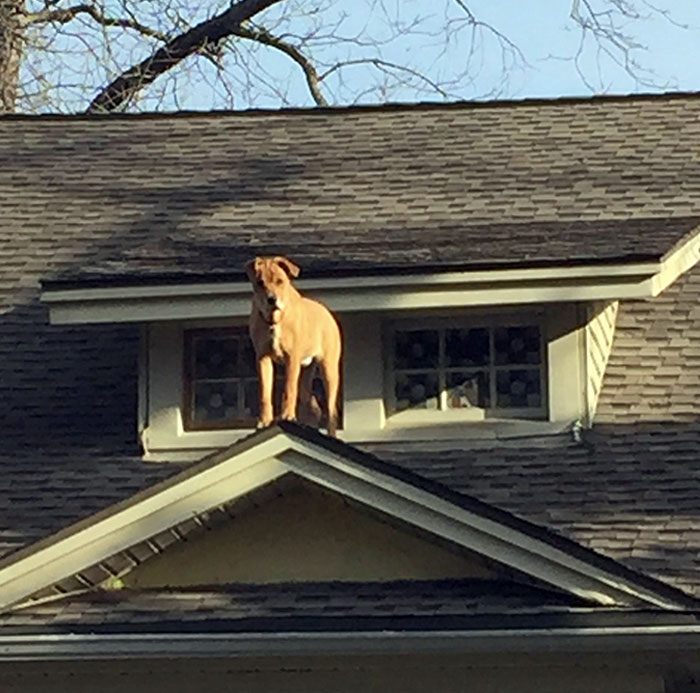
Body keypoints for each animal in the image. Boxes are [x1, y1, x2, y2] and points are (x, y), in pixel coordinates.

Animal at [246, 256, 342, 436]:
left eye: (280, 281)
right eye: (260, 282)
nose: (272, 299)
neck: (275, 320)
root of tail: (327, 312)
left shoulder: (292, 358)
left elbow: (289, 388)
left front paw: (287, 415)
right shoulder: (262, 358)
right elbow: (265, 394)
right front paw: (264, 421)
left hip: (329, 369)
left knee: (331, 411)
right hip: (307, 371)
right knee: (312, 405)